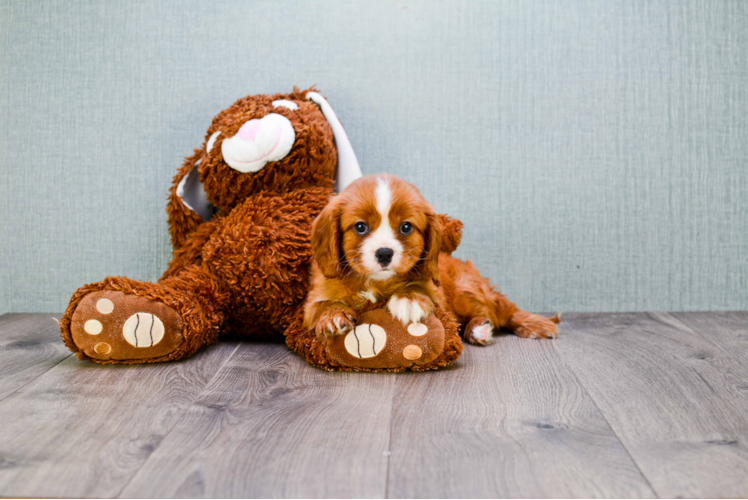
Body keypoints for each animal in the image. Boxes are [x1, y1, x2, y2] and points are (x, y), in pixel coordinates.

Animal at [300, 175, 560, 344]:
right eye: (360, 227)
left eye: (406, 227)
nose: (384, 253)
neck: (377, 283)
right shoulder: (315, 296)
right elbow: (320, 305)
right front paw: (332, 315)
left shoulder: (437, 294)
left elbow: (422, 290)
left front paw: (409, 299)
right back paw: (478, 330)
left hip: (466, 291)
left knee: (502, 309)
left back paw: (532, 324)